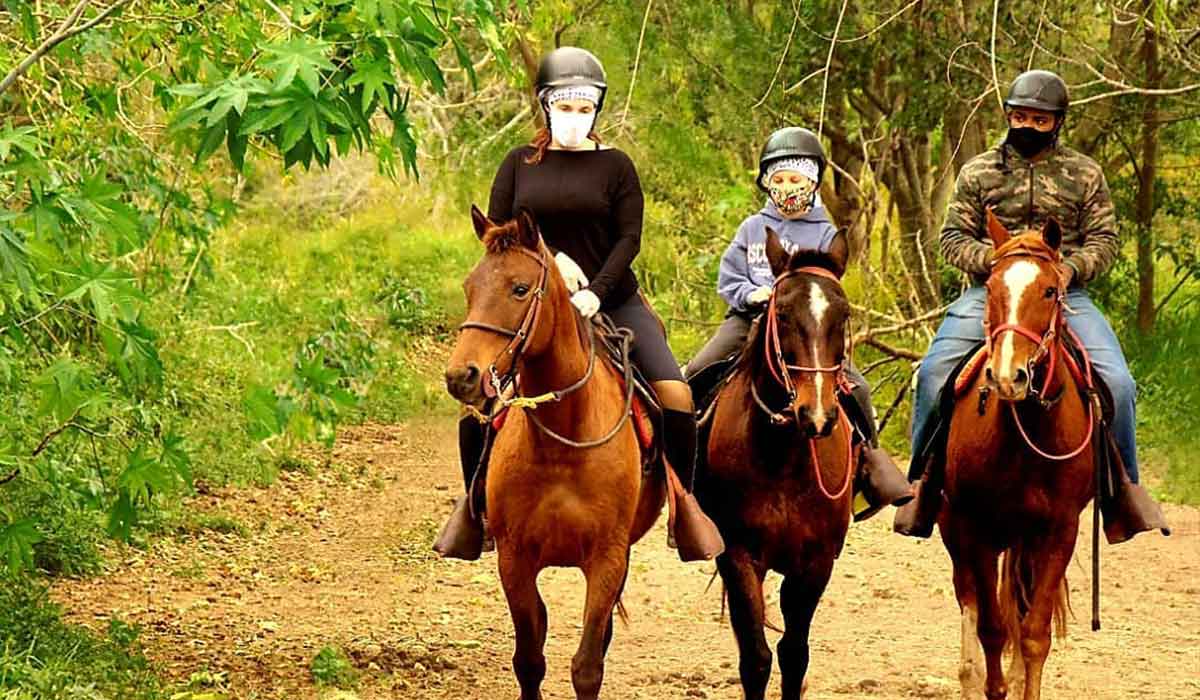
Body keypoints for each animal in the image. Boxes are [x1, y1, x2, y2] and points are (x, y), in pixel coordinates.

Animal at [443, 206, 666, 700]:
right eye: (469, 287)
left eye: (520, 288)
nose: (462, 377)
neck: (562, 443)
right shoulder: (514, 559)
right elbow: (529, 659)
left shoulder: (607, 559)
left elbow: (587, 666)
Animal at [699, 228, 855, 700]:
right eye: (782, 313)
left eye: (843, 314)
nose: (816, 414)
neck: (783, 459)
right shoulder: (738, 556)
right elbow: (756, 658)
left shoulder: (816, 563)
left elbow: (793, 655)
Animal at [940, 212, 1097, 700]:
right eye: (991, 286)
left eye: (1049, 290)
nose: (1008, 377)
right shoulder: (976, 531)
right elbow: (991, 628)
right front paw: (991, 685)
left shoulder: (1058, 532)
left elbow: (1032, 635)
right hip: (956, 531)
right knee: (968, 598)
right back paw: (969, 677)